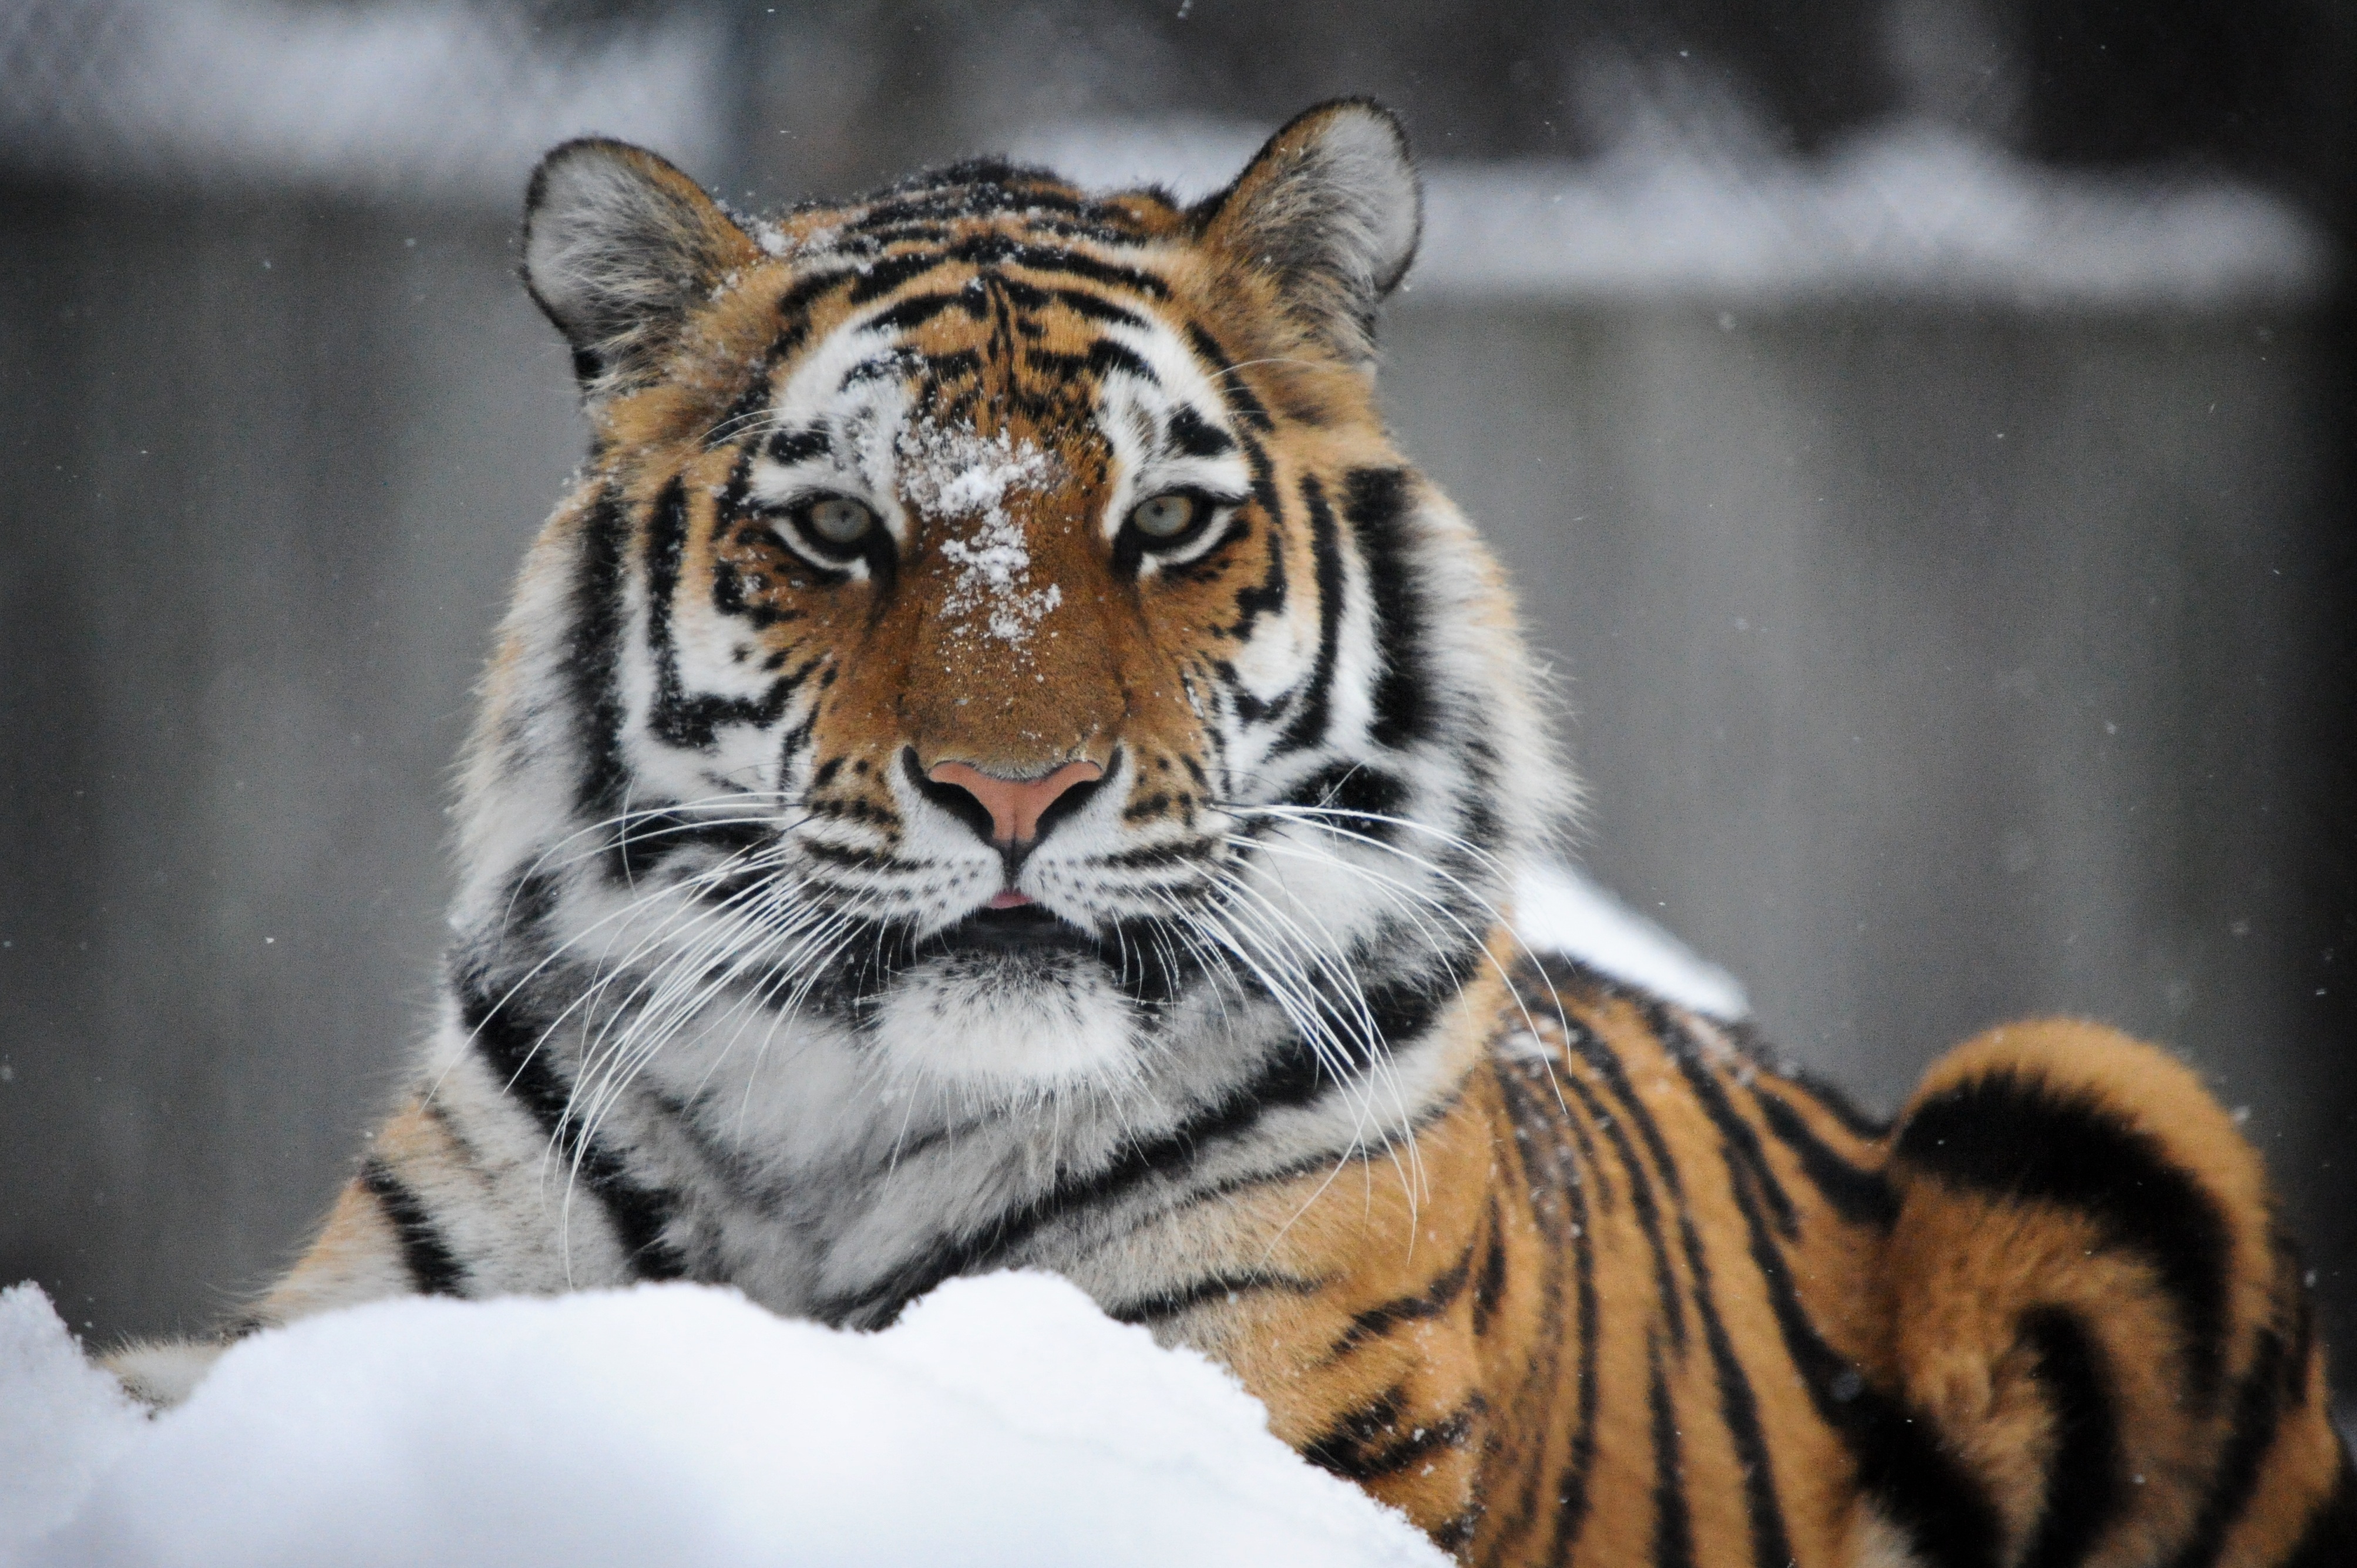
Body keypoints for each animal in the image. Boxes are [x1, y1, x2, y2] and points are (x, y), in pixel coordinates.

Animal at [101, 99, 2350, 1566]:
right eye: (834, 529)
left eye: (1167, 521)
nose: (1013, 793)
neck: (835, 1149)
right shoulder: (357, 1319)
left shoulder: (1263, 1399)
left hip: (2100, 1099)